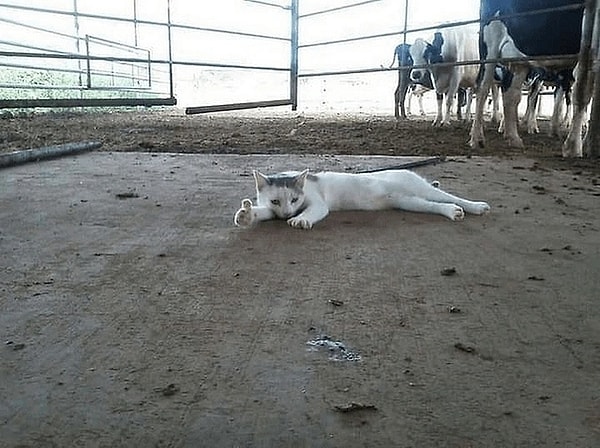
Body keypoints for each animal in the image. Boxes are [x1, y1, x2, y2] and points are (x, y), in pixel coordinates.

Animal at [468, 0, 584, 150]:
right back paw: (477, 138)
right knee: (483, 88)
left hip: (519, 59)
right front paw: (574, 146)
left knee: (511, 93)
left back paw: (513, 137)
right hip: (490, 46)